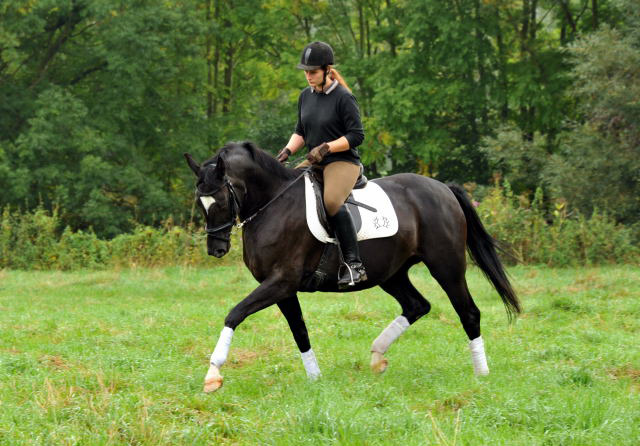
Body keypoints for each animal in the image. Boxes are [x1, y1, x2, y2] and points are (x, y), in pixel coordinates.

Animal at [184, 141, 520, 392]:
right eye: (200, 203)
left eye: (220, 201)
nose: (216, 249)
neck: (272, 205)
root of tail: (443, 189)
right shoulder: (282, 288)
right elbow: (299, 331)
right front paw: (315, 378)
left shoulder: (282, 281)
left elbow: (234, 314)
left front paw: (213, 374)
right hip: (391, 273)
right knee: (417, 305)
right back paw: (377, 356)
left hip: (446, 265)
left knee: (468, 312)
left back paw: (481, 374)